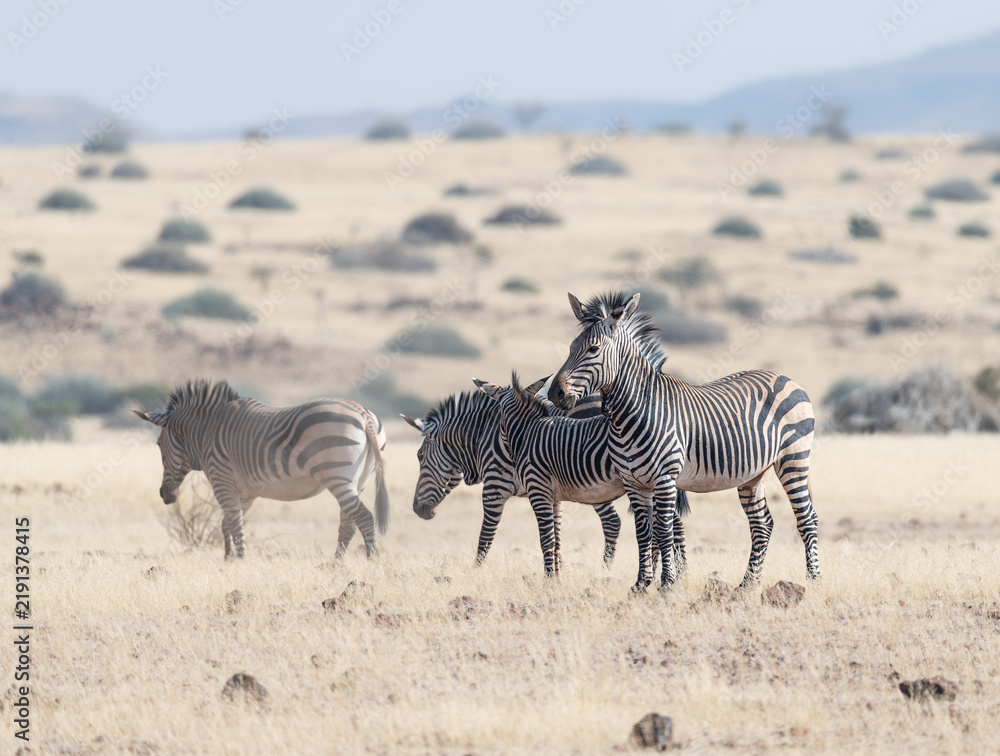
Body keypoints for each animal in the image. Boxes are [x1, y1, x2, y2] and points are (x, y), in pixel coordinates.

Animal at [134, 380, 389, 560]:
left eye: (158, 444)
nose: (164, 495)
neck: (206, 432)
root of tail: (363, 412)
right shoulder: (245, 492)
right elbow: (227, 522)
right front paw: (229, 558)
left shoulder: (221, 480)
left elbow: (233, 521)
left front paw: (240, 559)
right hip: (358, 480)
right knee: (349, 521)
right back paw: (336, 562)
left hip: (337, 476)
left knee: (363, 517)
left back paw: (372, 558)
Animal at [401, 386, 627, 569]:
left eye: (420, 456)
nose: (417, 509)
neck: (482, 436)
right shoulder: (553, 493)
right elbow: (556, 536)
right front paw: (559, 571)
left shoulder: (494, 488)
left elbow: (485, 538)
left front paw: (475, 573)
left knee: (612, 521)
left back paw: (605, 571)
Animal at [473, 372, 690, 576]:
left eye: (498, 416)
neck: (526, 432)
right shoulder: (553, 497)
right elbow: (556, 539)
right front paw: (557, 578)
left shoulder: (537, 490)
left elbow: (546, 538)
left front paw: (548, 579)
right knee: (672, 525)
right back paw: (676, 574)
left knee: (670, 526)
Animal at [550, 291, 820, 593]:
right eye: (572, 347)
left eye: (593, 349)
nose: (555, 393)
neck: (636, 411)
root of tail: (785, 377)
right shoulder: (634, 482)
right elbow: (644, 533)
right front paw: (640, 585)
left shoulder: (665, 479)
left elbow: (664, 530)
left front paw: (666, 584)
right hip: (753, 473)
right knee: (762, 525)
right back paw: (747, 584)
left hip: (793, 459)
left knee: (806, 518)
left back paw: (813, 580)